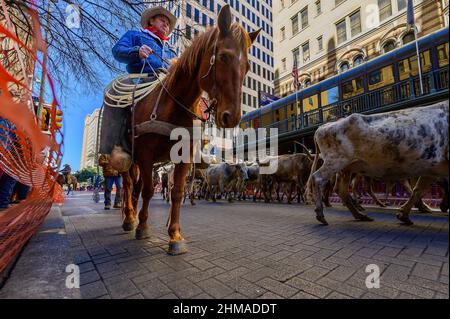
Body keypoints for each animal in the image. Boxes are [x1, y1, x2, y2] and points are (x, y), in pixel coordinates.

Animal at [119, 5, 260, 255]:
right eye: (223, 56)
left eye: (247, 67)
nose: (232, 117)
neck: (172, 104)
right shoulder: (145, 155)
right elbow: (148, 190)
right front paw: (144, 227)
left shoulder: (183, 158)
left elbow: (176, 192)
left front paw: (175, 235)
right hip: (130, 158)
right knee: (128, 186)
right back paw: (129, 219)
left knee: (135, 187)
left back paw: (133, 216)